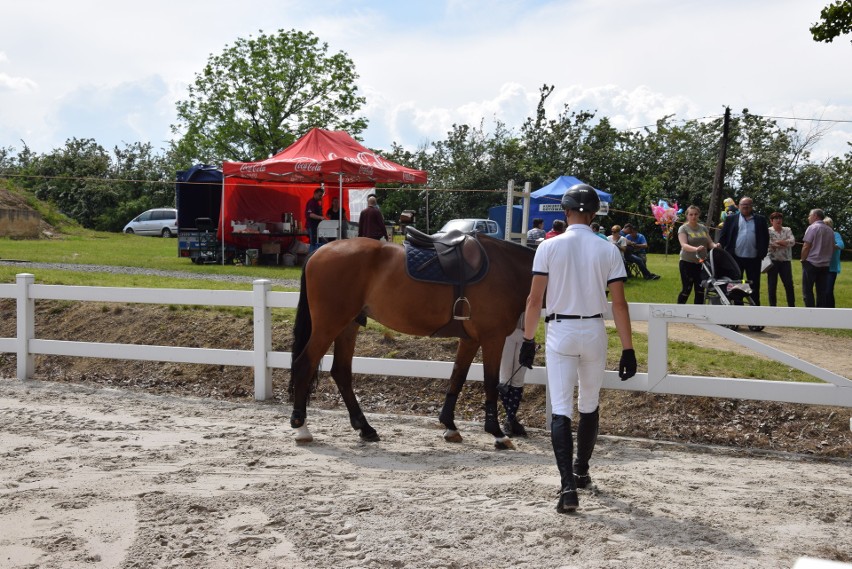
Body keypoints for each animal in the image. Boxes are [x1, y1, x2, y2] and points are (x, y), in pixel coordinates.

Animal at [290, 233, 536, 446]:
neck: (506, 268)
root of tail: (320, 250)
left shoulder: (470, 340)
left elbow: (457, 376)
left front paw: (450, 425)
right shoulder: (492, 338)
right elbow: (490, 382)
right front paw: (497, 432)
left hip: (348, 326)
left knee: (341, 372)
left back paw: (365, 428)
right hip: (329, 326)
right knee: (304, 364)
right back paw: (301, 426)